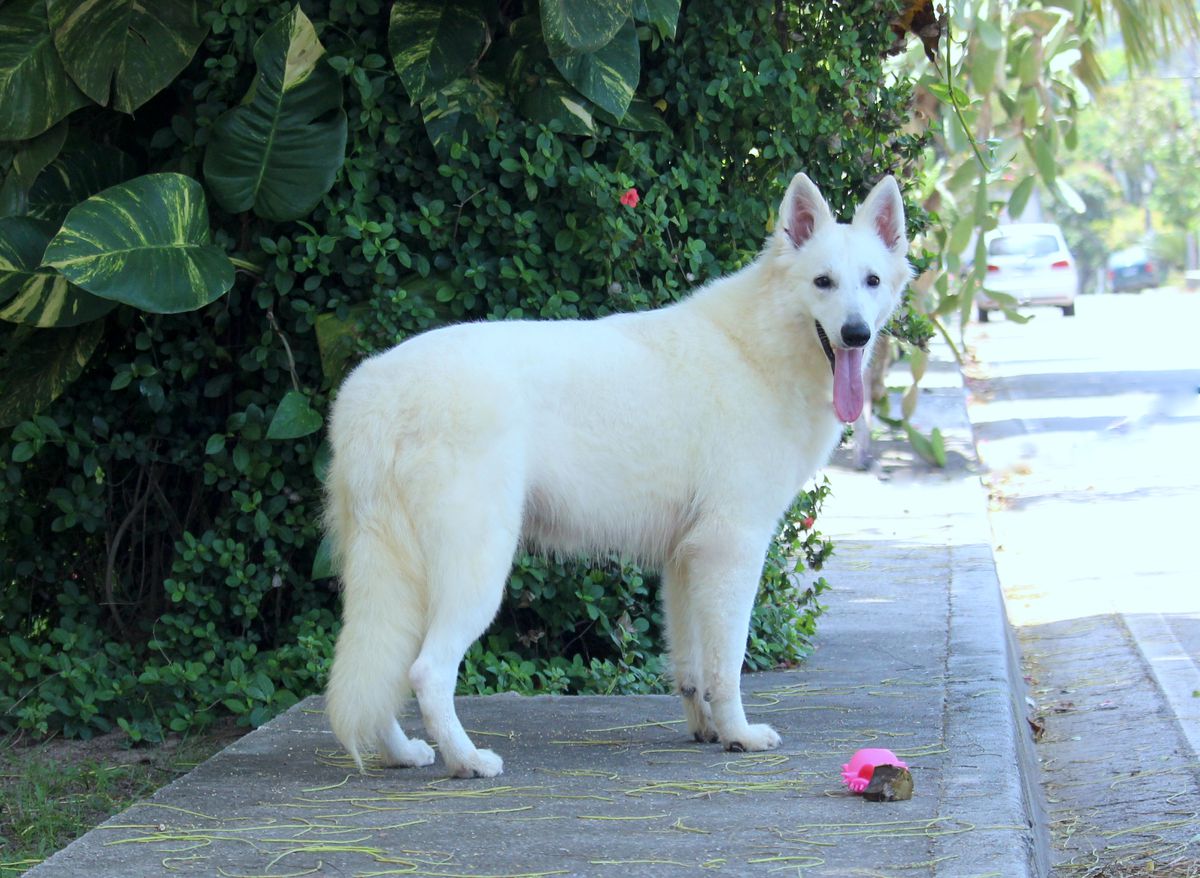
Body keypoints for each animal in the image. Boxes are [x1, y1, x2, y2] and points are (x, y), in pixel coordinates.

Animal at [324, 171, 912, 777]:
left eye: (870, 281)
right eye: (823, 282)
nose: (856, 334)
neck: (758, 347)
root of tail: (376, 393)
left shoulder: (685, 559)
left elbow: (691, 669)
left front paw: (705, 730)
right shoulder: (732, 548)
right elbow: (727, 664)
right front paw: (740, 735)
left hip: (392, 576)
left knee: (377, 672)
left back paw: (401, 752)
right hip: (476, 570)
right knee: (425, 672)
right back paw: (468, 760)